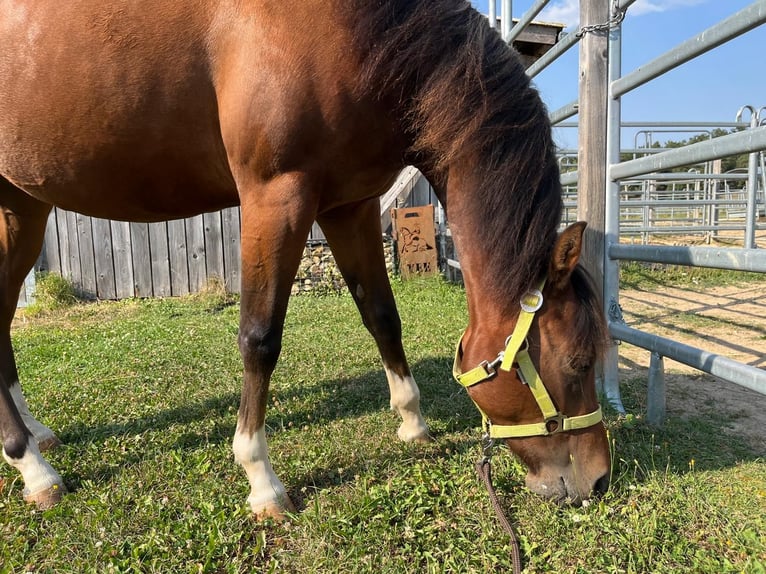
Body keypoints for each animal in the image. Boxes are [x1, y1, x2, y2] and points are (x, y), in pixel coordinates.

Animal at [0, 0, 612, 520]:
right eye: (579, 362)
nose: (600, 480)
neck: (357, 31)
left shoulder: (350, 206)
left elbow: (382, 316)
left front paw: (412, 423)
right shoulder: (276, 198)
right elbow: (260, 338)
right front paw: (261, 481)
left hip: (22, 209)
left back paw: (35, 436)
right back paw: (33, 469)